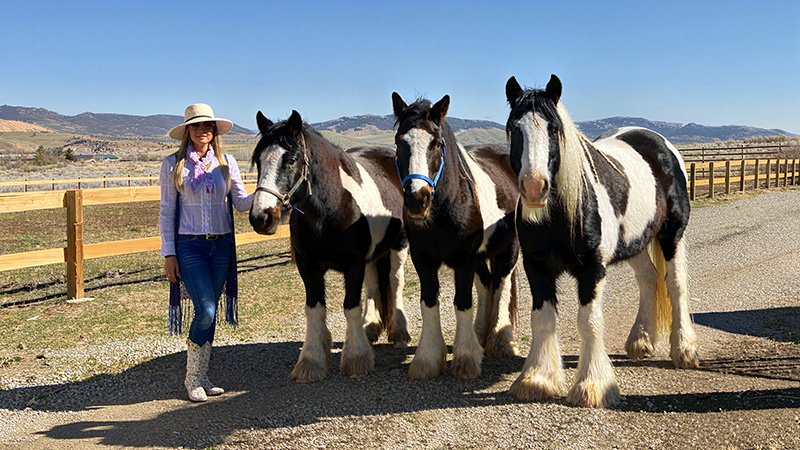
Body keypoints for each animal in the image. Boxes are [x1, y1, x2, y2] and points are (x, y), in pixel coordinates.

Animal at [249, 110, 410, 383]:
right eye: (258, 161)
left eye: (291, 160)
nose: (262, 217)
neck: (329, 209)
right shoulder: (308, 267)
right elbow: (314, 310)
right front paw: (311, 361)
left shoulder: (353, 265)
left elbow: (351, 307)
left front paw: (356, 358)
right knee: (374, 286)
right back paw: (370, 328)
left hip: (399, 245)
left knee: (395, 282)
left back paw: (398, 331)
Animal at [391, 92, 520, 380]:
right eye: (399, 142)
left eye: (436, 143)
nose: (417, 200)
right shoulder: (423, 260)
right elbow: (429, 302)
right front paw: (428, 359)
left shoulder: (464, 260)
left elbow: (462, 301)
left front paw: (466, 358)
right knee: (487, 284)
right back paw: (480, 335)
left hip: (507, 249)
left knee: (502, 283)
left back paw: (499, 341)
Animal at [504, 74, 700, 407]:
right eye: (514, 129)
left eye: (554, 129)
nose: (534, 188)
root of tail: (660, 143)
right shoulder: (537, 267)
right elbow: (542, 319)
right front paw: (538, 379)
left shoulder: (592, 270)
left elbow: (589, 321)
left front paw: (592, 386)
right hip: (636, 242)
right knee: (648, 279)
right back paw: (640, 341)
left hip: (671, 235)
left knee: (676, 285)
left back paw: (684, 350)